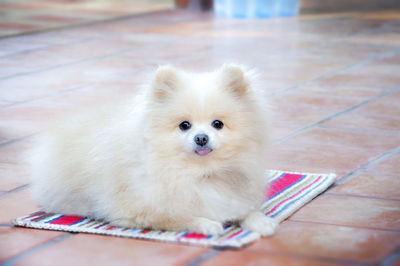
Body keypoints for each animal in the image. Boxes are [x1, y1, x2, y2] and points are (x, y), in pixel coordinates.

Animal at [28, 64, 278, 235]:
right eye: (184, 125)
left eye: (218, 124)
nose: (201, 138)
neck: (199, 173)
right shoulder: (135, 212)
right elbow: (178, 218)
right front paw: (207, 224)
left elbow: (248, 210)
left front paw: (262, 222)